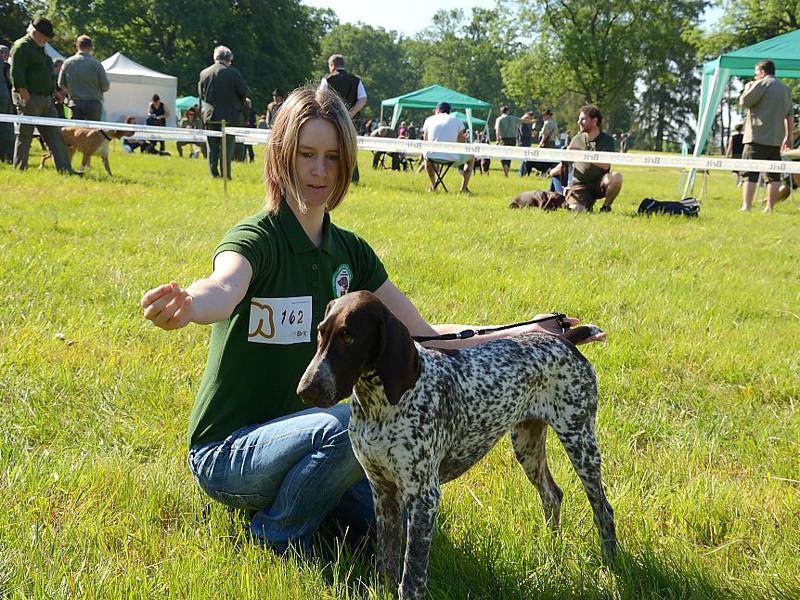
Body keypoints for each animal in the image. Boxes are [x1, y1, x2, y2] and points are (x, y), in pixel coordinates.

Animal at [296, 292, 616, 600]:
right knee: (552, 495)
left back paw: (610, 568)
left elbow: (411, 578)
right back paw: (551, 552)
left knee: (603, 509)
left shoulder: (423, 497)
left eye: (350, 338)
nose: (306, 389)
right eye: (321, 333)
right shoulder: (383, 491)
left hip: (580, 440)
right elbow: (386, 564)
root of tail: (563, 339)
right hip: (527, 444)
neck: (377, 406)